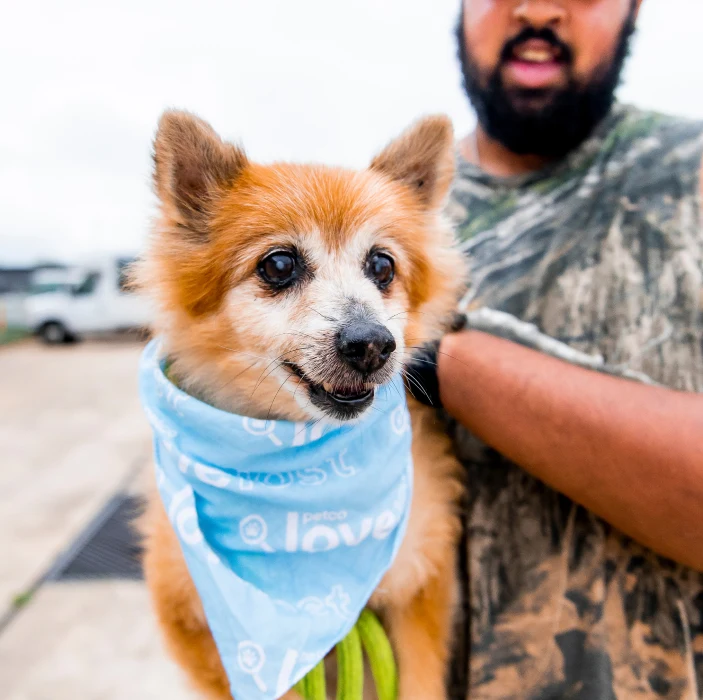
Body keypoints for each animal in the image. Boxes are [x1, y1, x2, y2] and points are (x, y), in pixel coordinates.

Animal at [138, 112, 468, 696]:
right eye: (279, 265)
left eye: (382, 265)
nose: (372, 343)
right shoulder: (191, 620)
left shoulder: (420, 580)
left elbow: (421, 676)